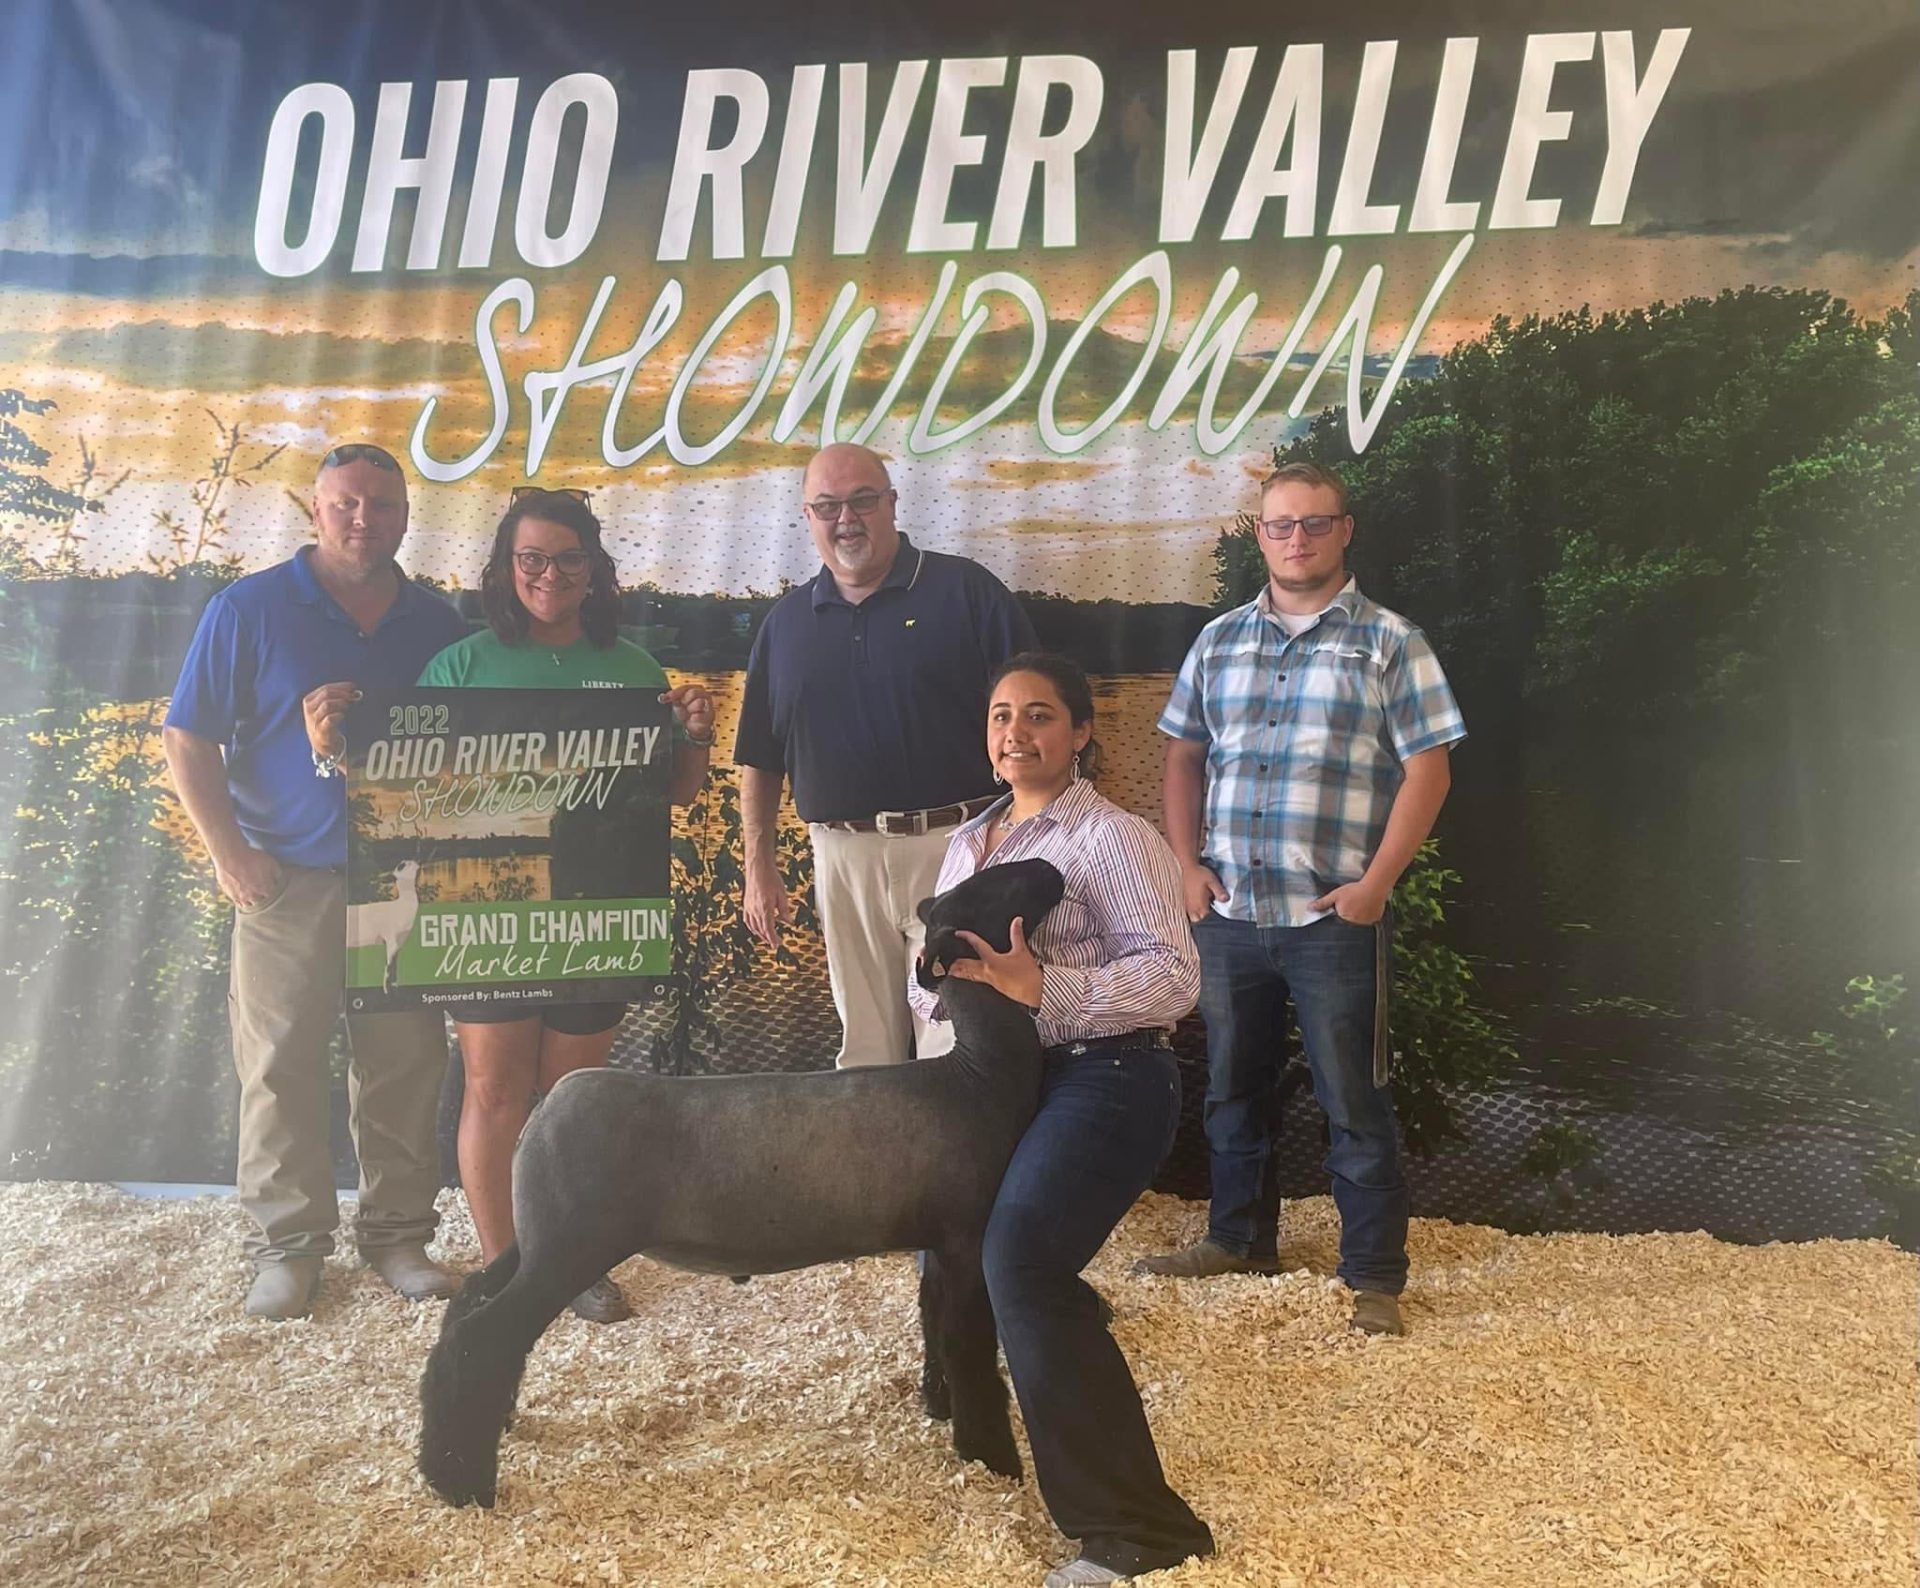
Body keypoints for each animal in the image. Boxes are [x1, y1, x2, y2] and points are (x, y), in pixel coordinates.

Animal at [346, 859, 422, 993]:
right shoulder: (390, 939)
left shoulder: (399, 942)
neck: (401, 905)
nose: (416, 862)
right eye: (402, 866)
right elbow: (388, 966)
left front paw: (395, 987)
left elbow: (394, 965)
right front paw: (387, 991)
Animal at [417, 857, 1067, 1510]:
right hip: (569, 1246)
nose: (1050, 868)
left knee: (469, 1305)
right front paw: (991, 1456)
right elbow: (970, 1347)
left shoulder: (938, 1238)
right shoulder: (965, 1236)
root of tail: (544, 1109)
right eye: (1000, 886)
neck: (977, 1073)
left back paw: (459, 1444)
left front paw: (938, 1406)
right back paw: (461, 1480)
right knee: (485, 1333)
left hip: (539, 1237)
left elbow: (932, 1318)